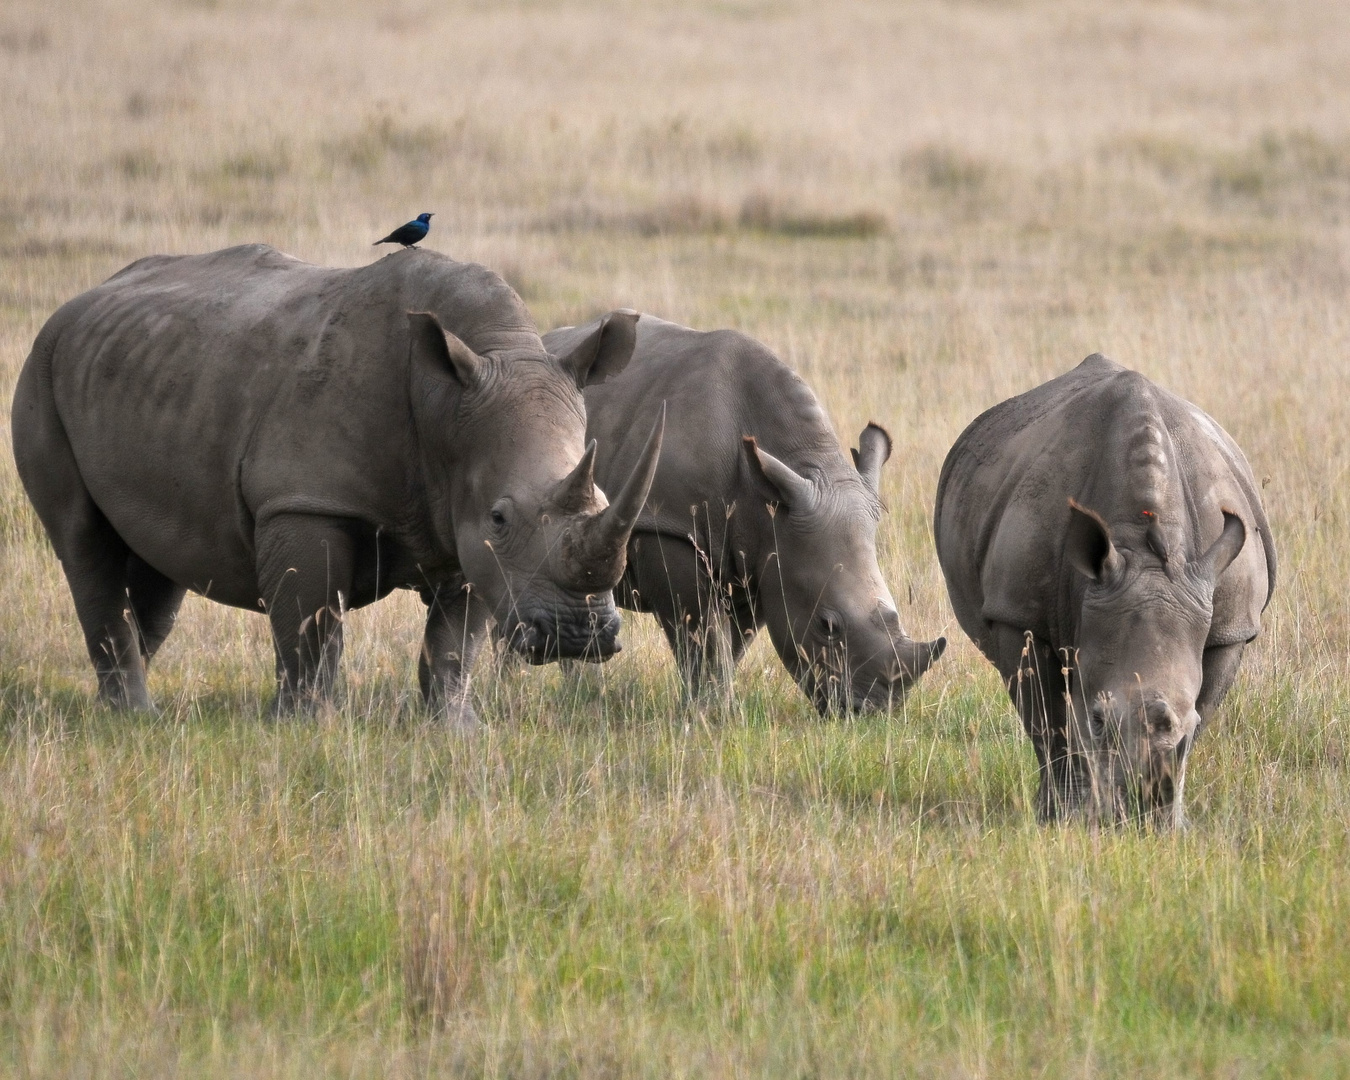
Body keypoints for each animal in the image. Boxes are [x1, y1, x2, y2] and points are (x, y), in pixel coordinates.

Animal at [10, 240, 664, 723]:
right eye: (502, 517)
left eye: (605, 500)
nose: (579, 637)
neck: (448, 401)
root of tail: (76, 302)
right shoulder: (307, 500)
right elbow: (312, 620)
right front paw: (307, 725)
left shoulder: (465, 519)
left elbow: (456, 639)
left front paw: (455, 730)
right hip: (40, 367)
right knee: (82, 540)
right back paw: (134, 716)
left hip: (139, 371)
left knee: (158, 563)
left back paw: (122, 709)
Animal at [542, 311, 945, 712]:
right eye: (826, 625)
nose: (874, 710)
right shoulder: (669, 525)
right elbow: (700, 633)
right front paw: (707, 712)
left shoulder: (765, 554)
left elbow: (732, 642)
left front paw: (714, 705)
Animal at [934, 353, 1269, 826]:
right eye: (1097, 720)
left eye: (1185, 728)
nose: (1142, 817)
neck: (1144, 547)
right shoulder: (1018, 613)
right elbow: (1049, 723)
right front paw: (1063, 819)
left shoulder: (1230, 627)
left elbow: (1205, 712)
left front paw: (1176, 824)